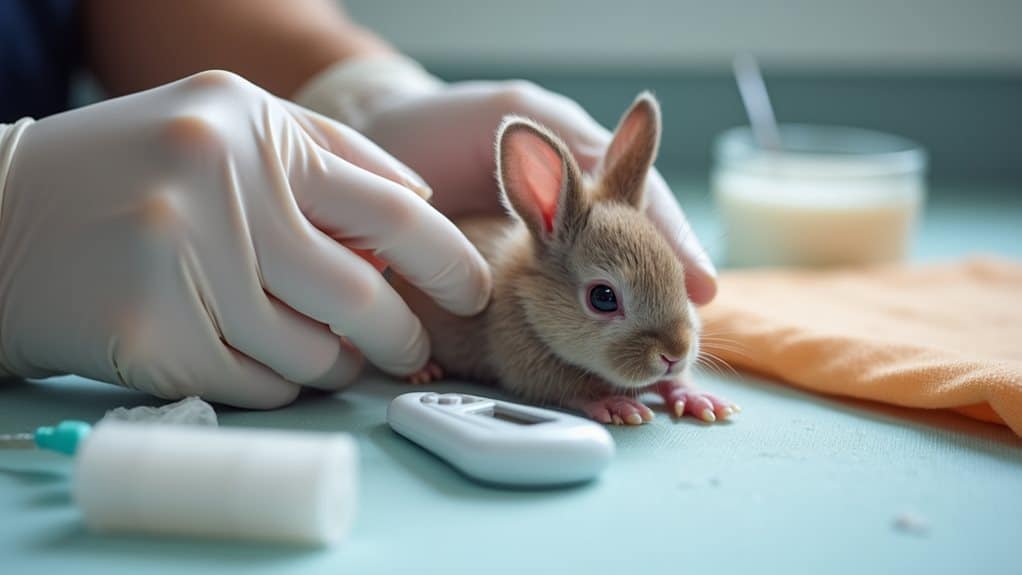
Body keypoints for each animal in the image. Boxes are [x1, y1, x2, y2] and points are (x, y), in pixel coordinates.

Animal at [391, 92, 738, 425]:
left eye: (680, 276)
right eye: (603, 297)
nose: (675, 354)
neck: (529, 299)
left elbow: (670, 383)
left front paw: (699, 398)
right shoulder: (524, 359)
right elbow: (572, 389)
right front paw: (618, 405)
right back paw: (422, 370)